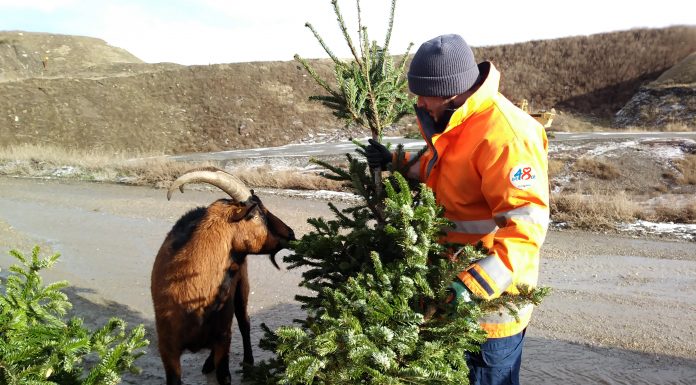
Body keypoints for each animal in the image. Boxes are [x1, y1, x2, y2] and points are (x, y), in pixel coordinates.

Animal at [150, 168, 294, 384]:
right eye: (257, 214)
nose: (290, 233)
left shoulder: (222, 338)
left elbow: (224, 374)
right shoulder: (167, 347)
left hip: (241, 288)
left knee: (244, 322)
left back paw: (248, 363)